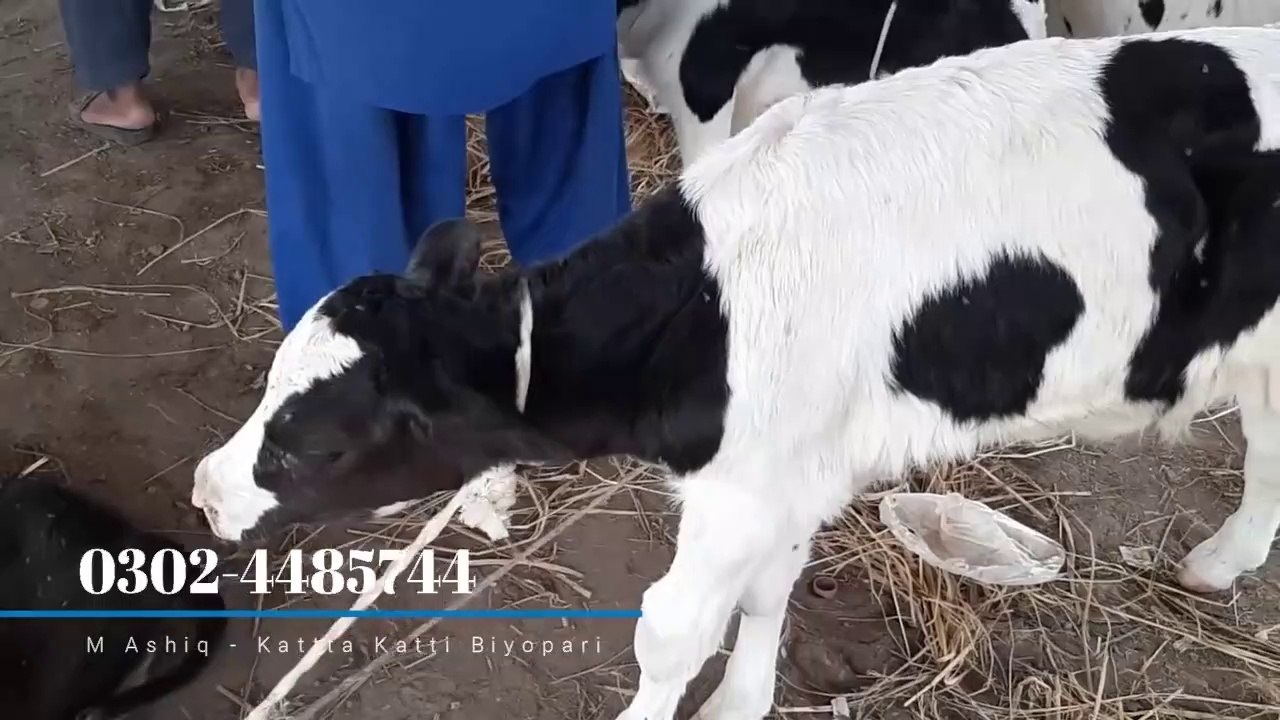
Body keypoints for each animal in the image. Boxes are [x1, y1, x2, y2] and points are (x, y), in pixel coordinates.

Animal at [193, 27, 1280, 720]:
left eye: (318, 443)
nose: (204, 492)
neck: (705, 307)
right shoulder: (785, 472)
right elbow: (764, 591)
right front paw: (741, 704)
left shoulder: (750, 484)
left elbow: (671, 628)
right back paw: (1218, 562)